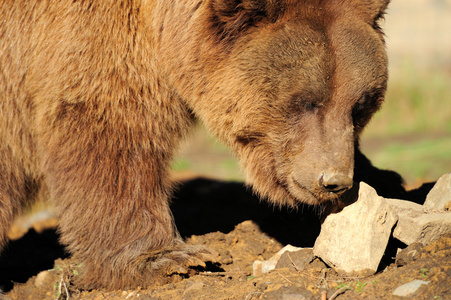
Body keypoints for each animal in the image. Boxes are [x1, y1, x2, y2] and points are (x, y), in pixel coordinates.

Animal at [0, 0, 402, 290]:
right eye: (305, 101)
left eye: (361, 105)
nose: (333, 181)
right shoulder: (88, 43)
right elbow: (112, 137)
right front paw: (169, 260)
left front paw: (383, 179)